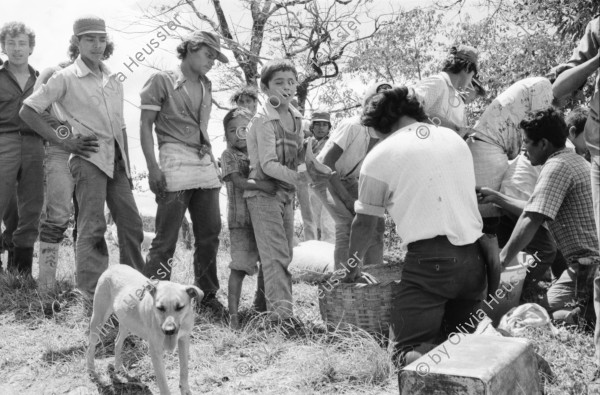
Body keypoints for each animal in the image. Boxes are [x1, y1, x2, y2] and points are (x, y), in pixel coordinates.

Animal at [86, 264, 204, 394]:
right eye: (160, 308)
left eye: (180, 307)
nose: (169, 331)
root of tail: (114, 266)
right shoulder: (155, 351)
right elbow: (163, 382)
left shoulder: (184, 340)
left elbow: (184, 369)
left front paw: (185, 389)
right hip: (98, 319)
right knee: (91, 345)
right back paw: (92, 370)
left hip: (126, 323)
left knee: (117, 342)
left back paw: (118, 367)